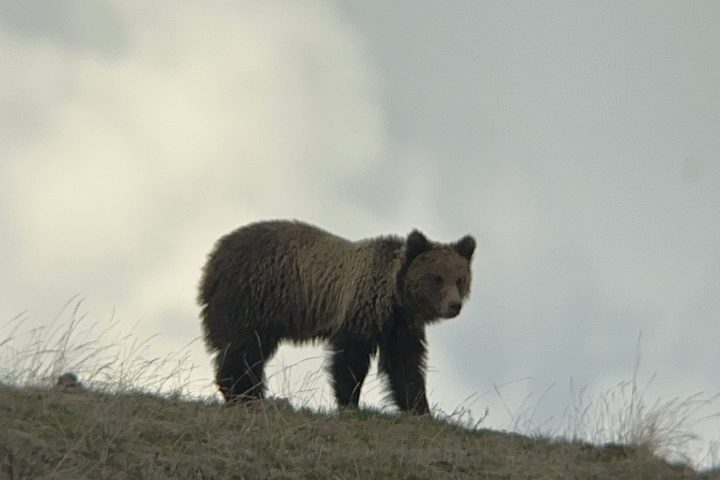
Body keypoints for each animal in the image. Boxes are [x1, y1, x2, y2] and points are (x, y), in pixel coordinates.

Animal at [198, 219, 475, 414]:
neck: (395, 299)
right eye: (437, 277)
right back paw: (247, 396)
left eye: (460, 279)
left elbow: (405, 366)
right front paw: (350, 404)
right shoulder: (360, 310)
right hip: (252, 297)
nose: (454, 305)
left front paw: (421, 410)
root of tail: (213, 258)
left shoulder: (400, 328)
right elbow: (350, 361)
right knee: (243, 349)